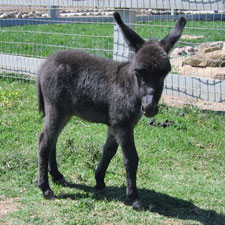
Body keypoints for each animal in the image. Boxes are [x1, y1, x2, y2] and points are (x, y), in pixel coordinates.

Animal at [37, 11, 186, 209]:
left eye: (164, 73)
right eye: (138, 72)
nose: (149, 108)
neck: (130, 87)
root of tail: (46, 63)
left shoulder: (115, 125)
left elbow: (109, 151)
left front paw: (99, 181)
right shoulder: (122, 124)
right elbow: (131, 158)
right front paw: (134, 198)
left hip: (65, 112)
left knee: (53, 139)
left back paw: (57, 176)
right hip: (56, 109)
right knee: (44, 141)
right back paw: (45, 188)